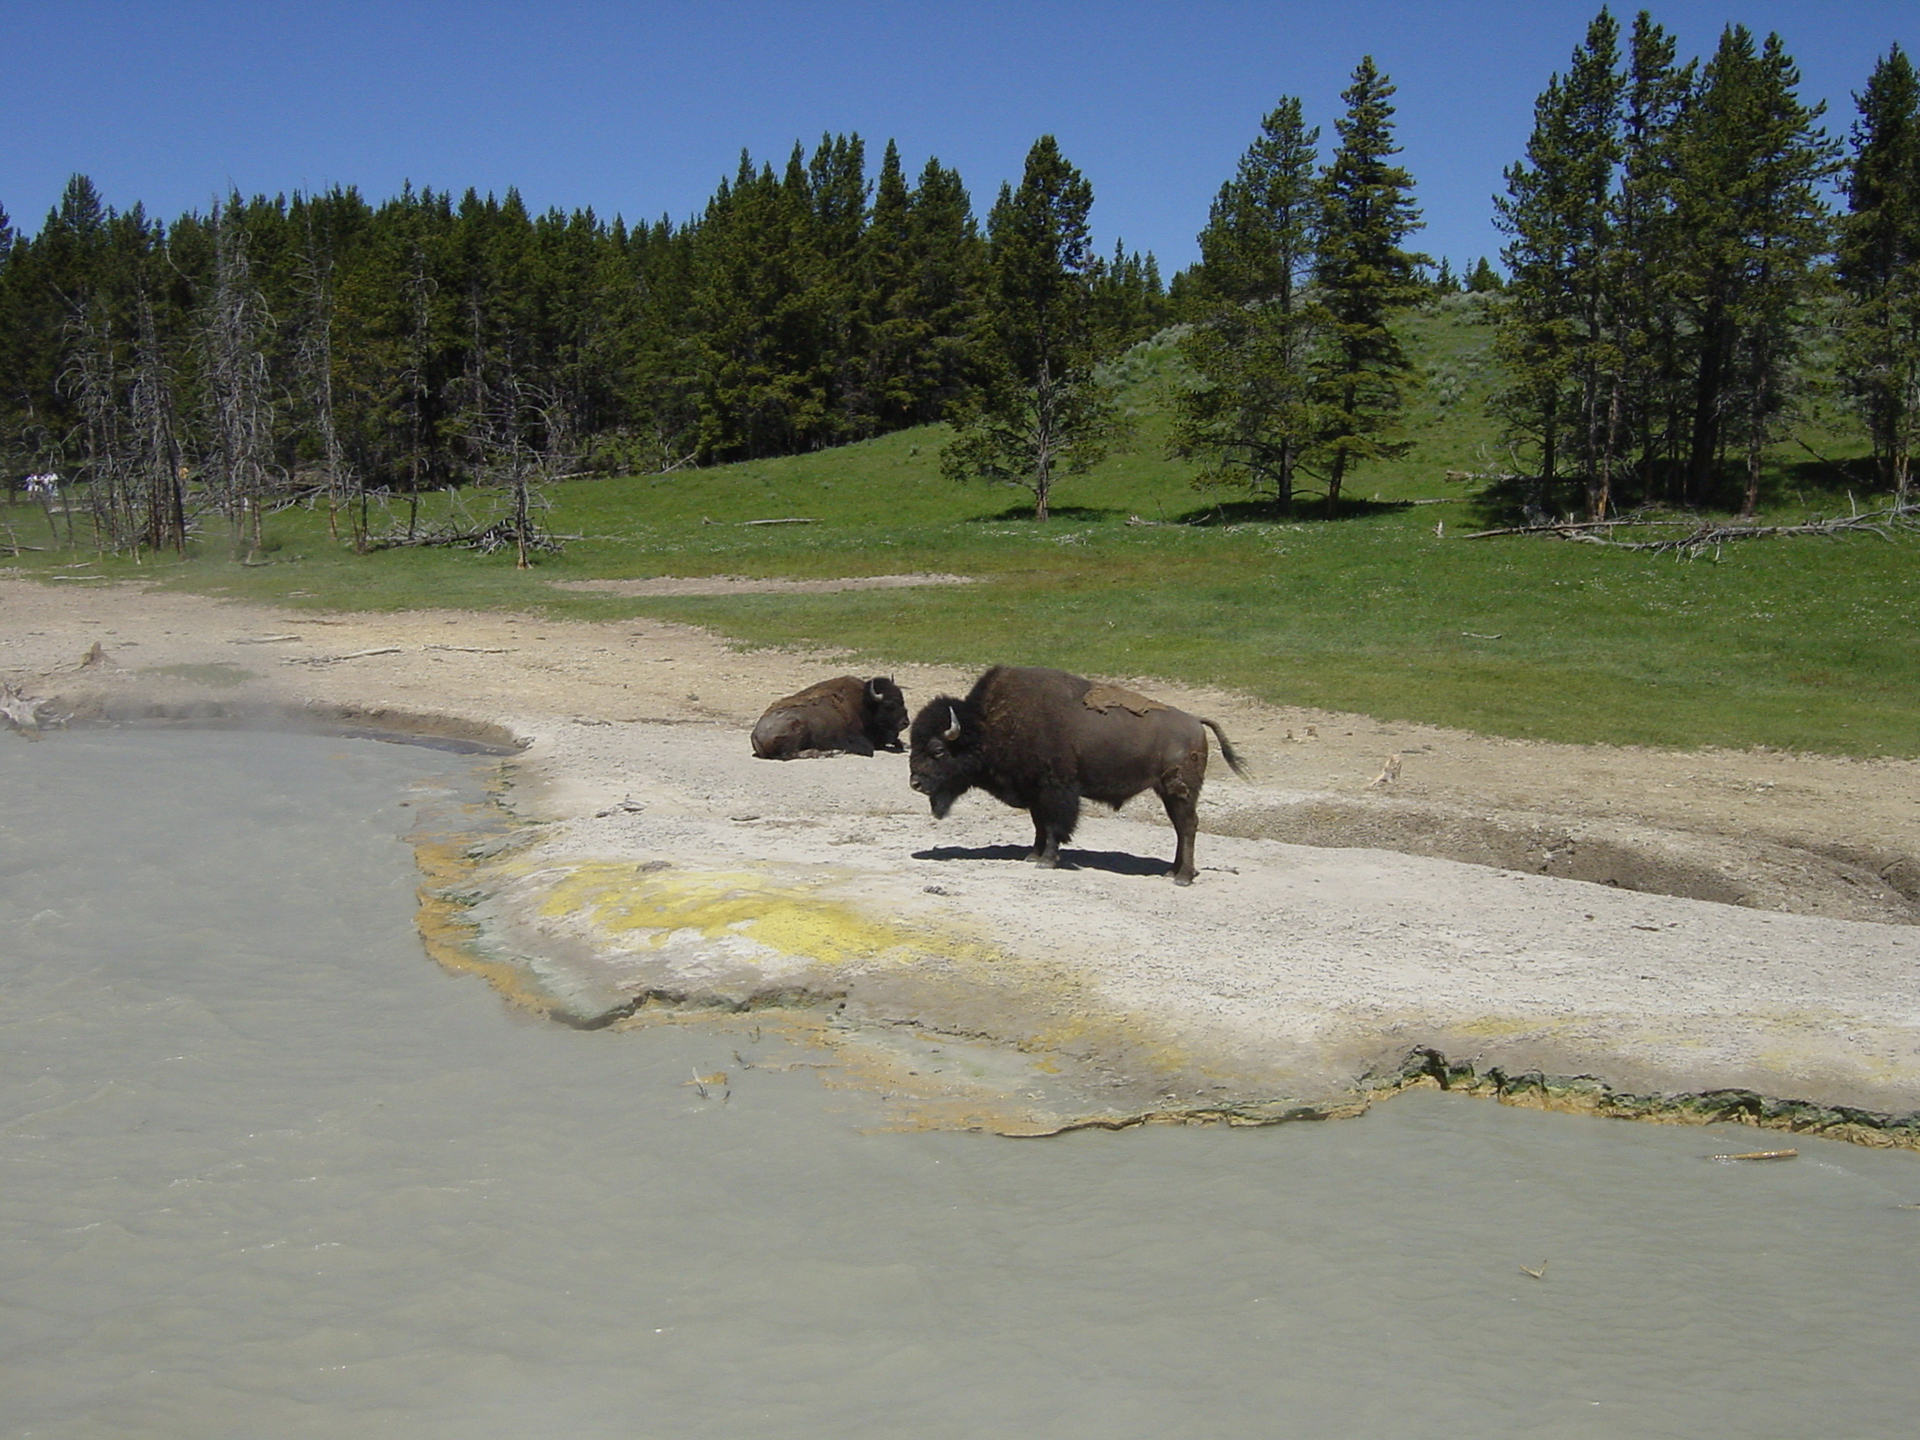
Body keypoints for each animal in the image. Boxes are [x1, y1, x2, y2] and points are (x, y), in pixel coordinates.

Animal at [748, 679, 906, 760]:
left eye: (903, 700)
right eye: (889, 705)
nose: (906, 722)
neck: (866, 704)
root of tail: (755, 734)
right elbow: (870, 748)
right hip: (797, 730)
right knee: (792, 754)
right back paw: (829, 753)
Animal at [906, 668, 1251, 890]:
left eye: (937, 749)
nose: (915, 783)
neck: (985, 726)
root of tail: (1196, 722)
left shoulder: (1056, 791)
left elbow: (1055, 827)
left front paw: (1047, 860)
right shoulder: (1035, 794)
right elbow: (1039, 826)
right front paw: (1032, 855)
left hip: (1179, 791)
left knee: (1188, 827)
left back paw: (1182, 877)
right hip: (1168, 792)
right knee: (1182, 828)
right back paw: (1172, 872)